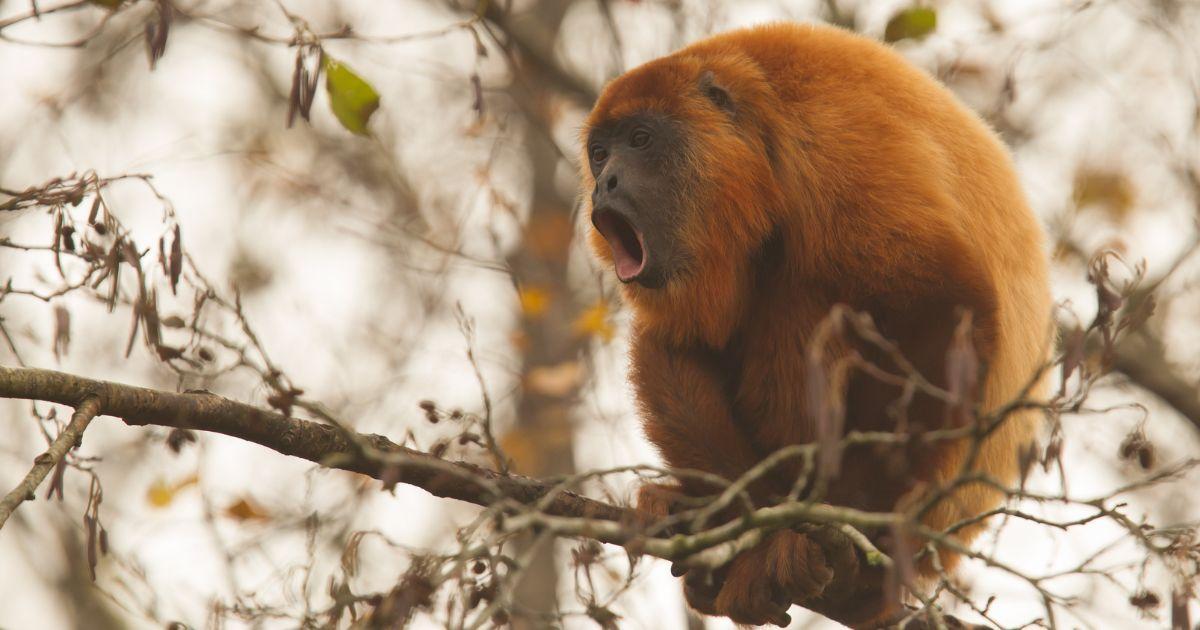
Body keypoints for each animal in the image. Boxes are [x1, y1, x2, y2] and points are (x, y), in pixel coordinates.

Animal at [580, 22, 1052, 628]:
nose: (606, 183)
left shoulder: (838, 141)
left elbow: (942, 308)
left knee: (803, 290)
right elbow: (680, 341)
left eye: (640, 140)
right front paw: (725, 520)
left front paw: (855, 549)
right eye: (599, 155)